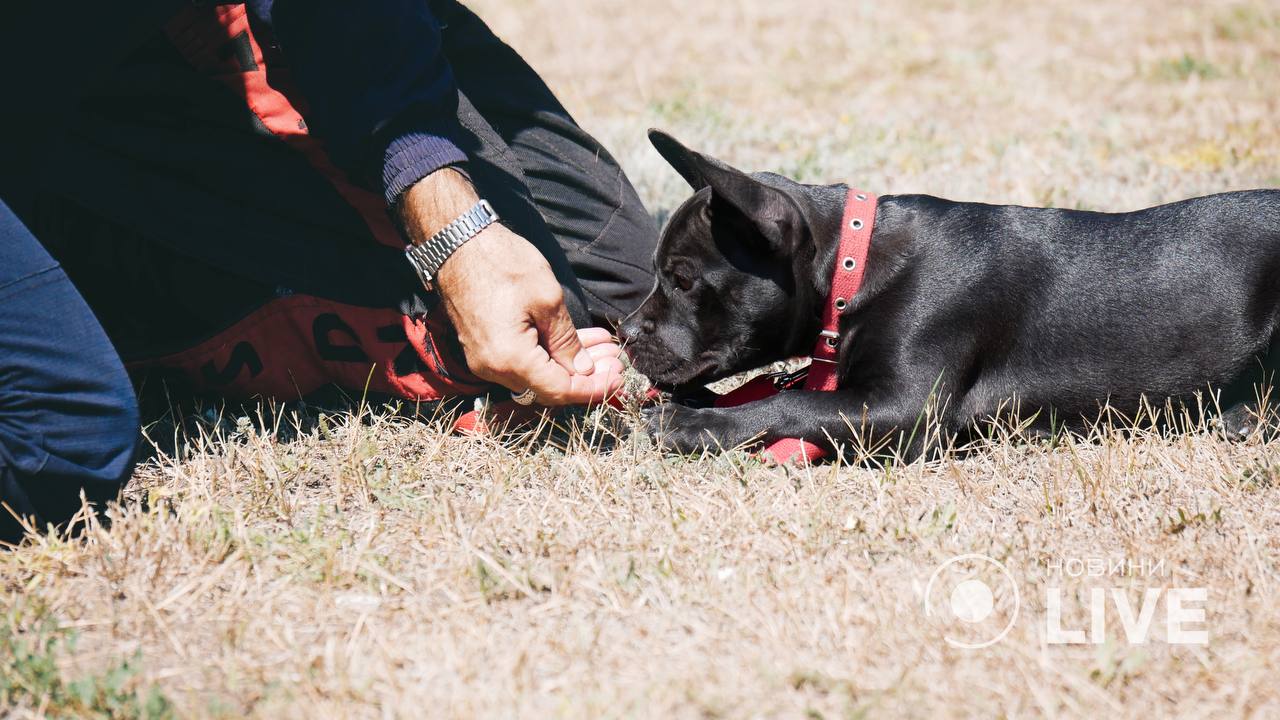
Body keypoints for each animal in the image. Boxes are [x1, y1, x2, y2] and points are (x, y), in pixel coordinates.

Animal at [622, 129, 1280, 456]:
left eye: (682, 279)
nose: (625, 332)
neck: (854, 266)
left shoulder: (906, 406)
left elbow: (792, 405)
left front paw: (688, 426)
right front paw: (690, 407)